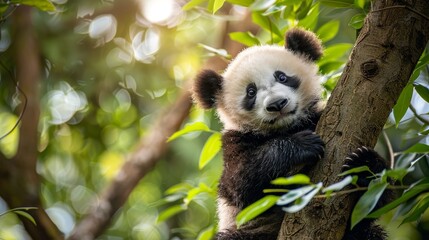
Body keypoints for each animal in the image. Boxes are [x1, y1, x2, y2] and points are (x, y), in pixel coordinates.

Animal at [191, 28, 388, 240]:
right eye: (251, 92)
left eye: (282, 77)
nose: (277, 104)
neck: (288, 127)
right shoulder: (235, 141)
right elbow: (242, 181)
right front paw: (303, 145)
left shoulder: (316, 116)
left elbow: (375, 202)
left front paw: (365, 164)